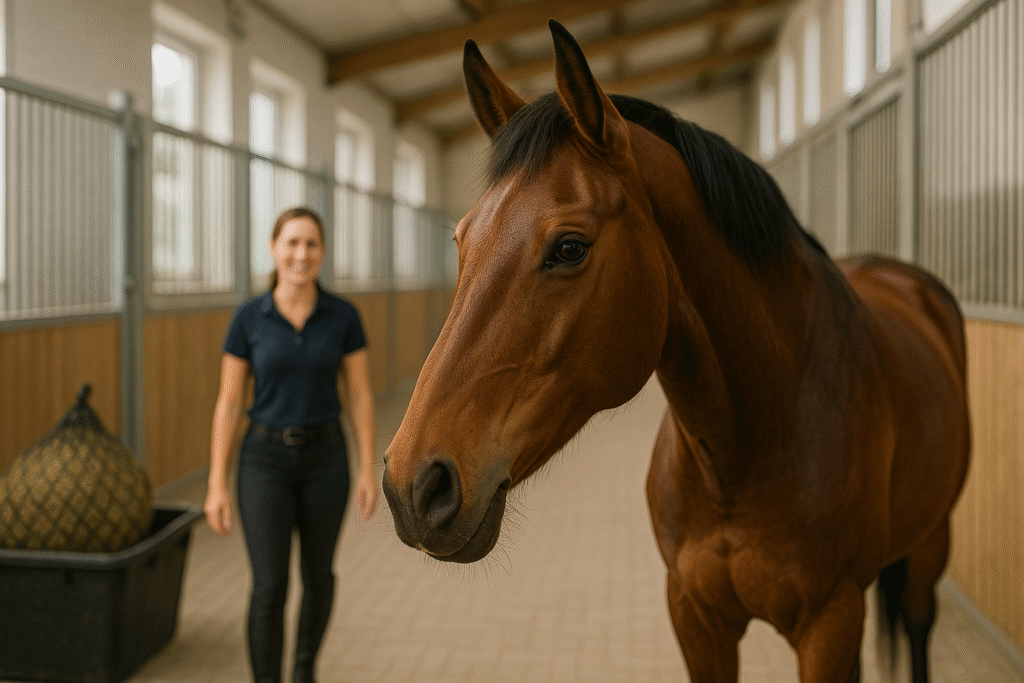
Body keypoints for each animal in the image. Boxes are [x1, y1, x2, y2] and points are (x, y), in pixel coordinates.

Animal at [381, 20, 970, 683]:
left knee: (918, 625)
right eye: (461, 241)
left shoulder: (829, 622)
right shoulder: (694, 614)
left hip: (931, 543)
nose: (412, 486)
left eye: (569, 248)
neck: (746, 451)